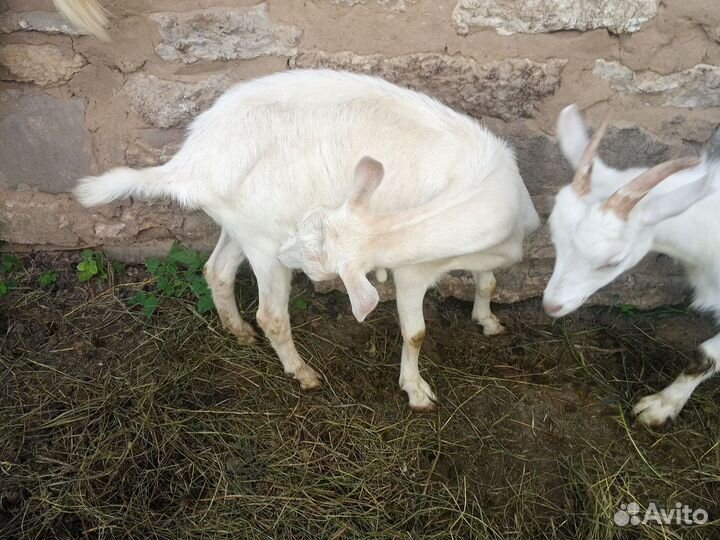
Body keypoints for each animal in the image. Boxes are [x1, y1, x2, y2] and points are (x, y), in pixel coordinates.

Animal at [74, 69, 539, 410]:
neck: (482, 186)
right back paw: (303, 374)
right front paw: (417, 391)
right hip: (263, 241)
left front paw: (488, 320)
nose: (291, 252)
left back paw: (238, 332)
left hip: (242, 225)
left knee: (217, 270)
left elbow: (489, 281)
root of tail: (192, 161)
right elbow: (415, 333)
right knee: (271, 315)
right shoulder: (413, 268)